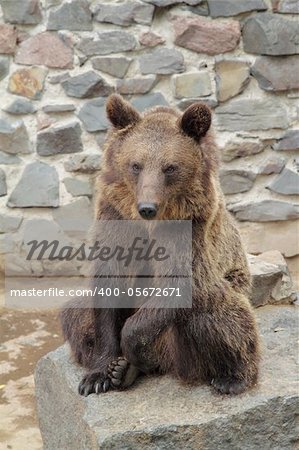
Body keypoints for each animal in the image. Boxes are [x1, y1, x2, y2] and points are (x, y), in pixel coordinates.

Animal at [61, 93, 260, 396]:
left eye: (170, 167)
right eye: (136, 165)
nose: (147, 207)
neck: (149, 223)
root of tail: (168, 362)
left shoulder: (191, 227)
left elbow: (180, 283)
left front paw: (133, 351)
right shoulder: (114, 216)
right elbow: (108, 284)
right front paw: (100, 374)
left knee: (218, 314)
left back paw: (232, 377)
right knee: (73, 313)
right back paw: (124, 371)